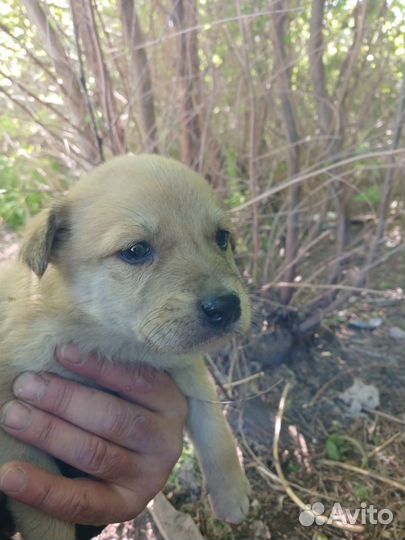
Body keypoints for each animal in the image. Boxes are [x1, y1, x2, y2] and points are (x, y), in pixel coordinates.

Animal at [0, 154, 249, 536]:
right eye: (135, 251)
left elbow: (214, 429)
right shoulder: (15, 428)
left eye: (222, 238)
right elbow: (46, 518)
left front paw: (232, 493)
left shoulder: (184, 365)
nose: (226, 306)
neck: (112, 340)